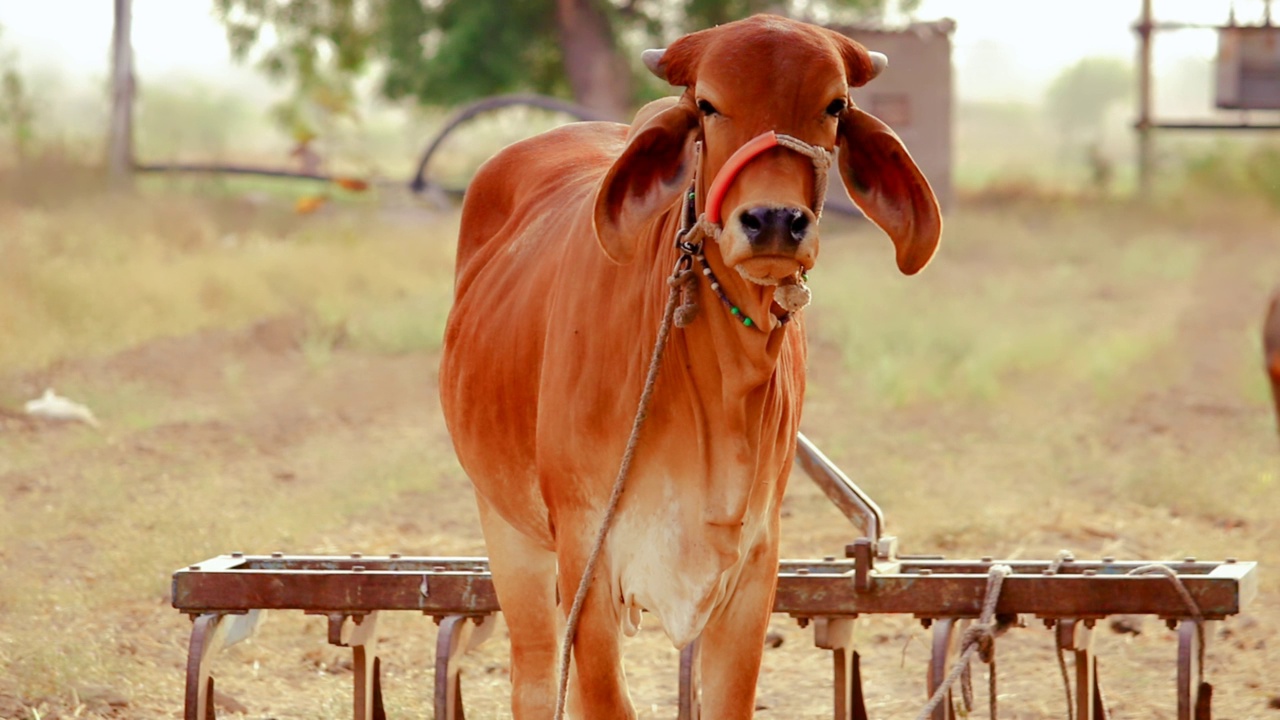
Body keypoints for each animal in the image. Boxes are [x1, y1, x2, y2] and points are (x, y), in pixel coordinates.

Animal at [440, 15, 942, 717]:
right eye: (707, 104)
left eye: (835, 105)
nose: (773, 221)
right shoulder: (587, 562)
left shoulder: (753, 571)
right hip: (510, 533)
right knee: (536, 679)